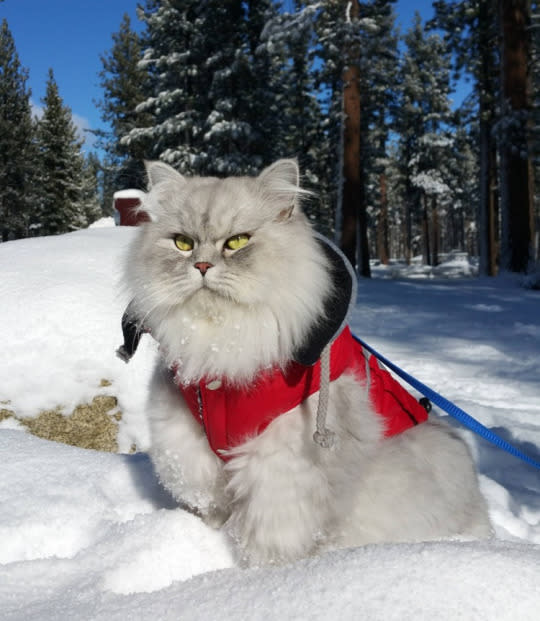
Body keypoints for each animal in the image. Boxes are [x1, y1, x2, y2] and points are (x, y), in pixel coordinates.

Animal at [123, 157, 494, 564]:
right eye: (182, 243)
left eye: (237, 242)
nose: (202, 266)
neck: (223, 346)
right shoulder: (184, 433)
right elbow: (200, 486)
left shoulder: (283, 464)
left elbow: (271, 531)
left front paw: (263, 570)